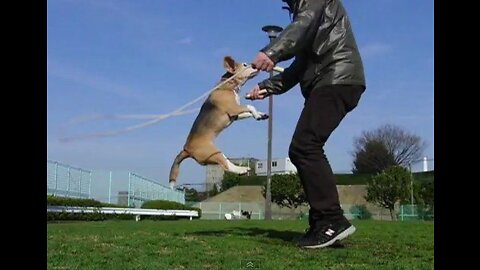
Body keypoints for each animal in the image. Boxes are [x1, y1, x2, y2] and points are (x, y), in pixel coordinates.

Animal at [168, 56, 266, 189]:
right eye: (245, 65)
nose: (256, 65)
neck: (228, 84)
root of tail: (186, 149)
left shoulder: (235, 115)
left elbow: (249, 112)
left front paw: (260, 114)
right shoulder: (233, 108)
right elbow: (250, 106)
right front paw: (257, 114)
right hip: (213, 152)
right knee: (226, 165)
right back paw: (241, 169)